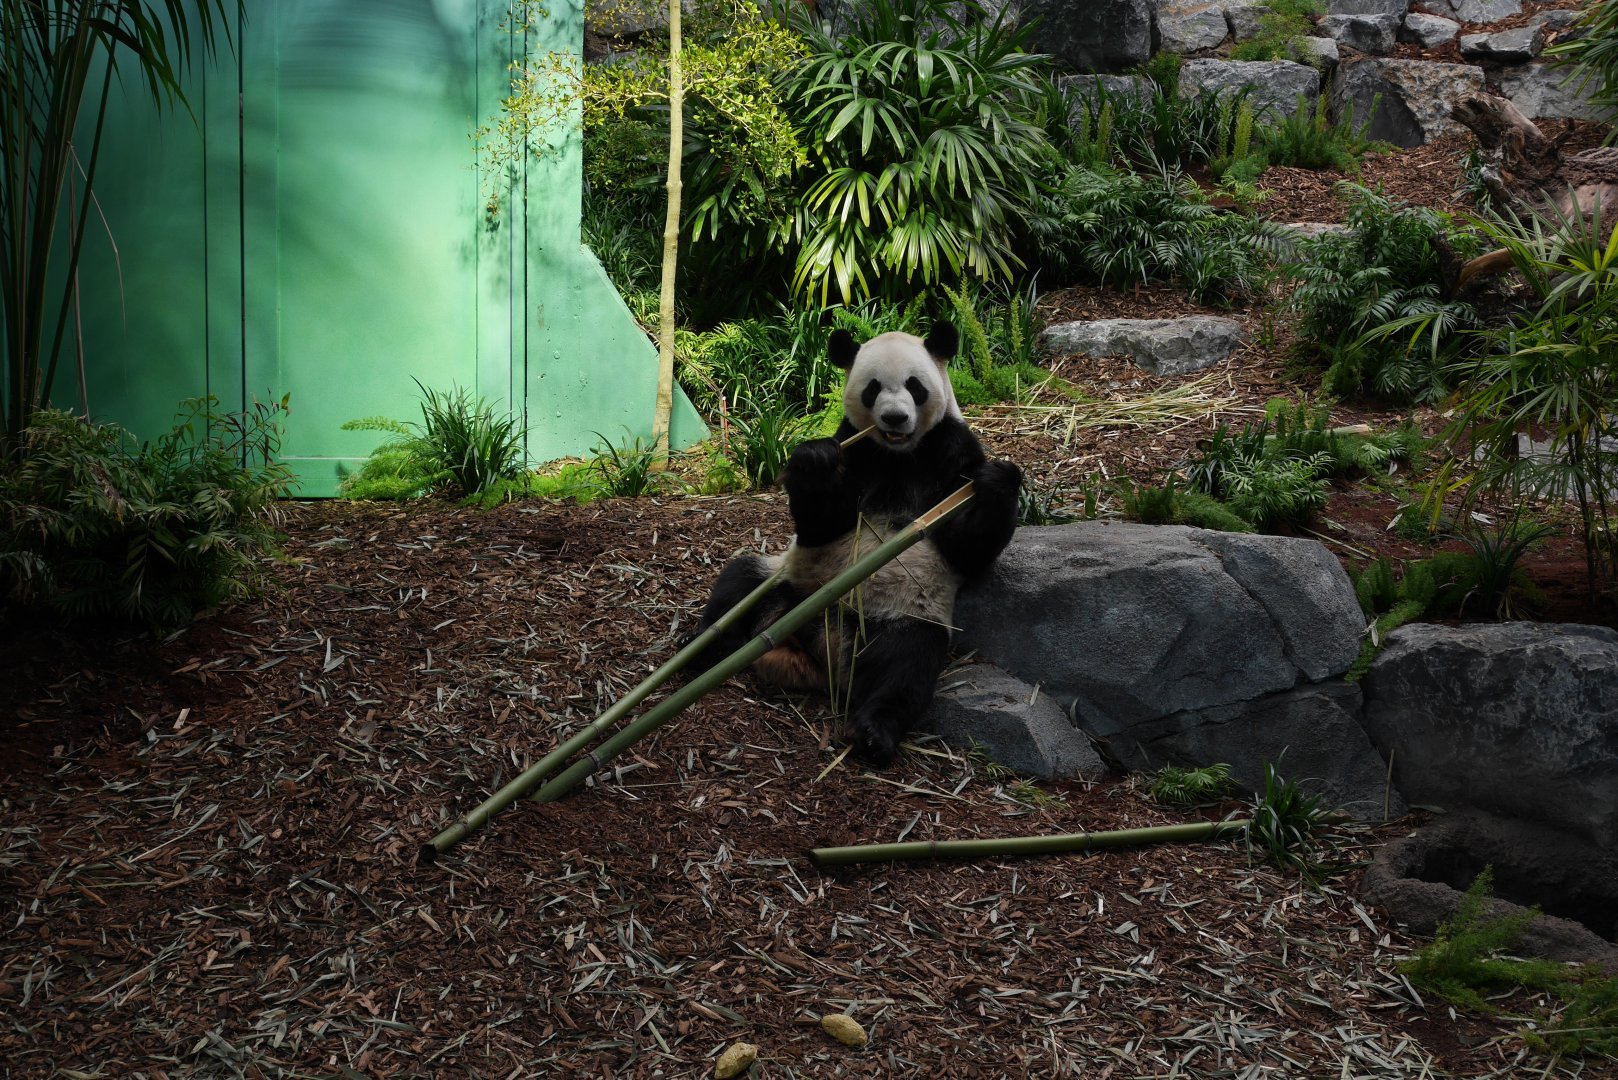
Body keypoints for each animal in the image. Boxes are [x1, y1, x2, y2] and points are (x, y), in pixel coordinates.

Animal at [687, 321, 1022, 765]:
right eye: (873, 388)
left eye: (915, 386)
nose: (895, 417)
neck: (899, 453)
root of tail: (816, 646)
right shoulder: (855, 445)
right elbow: (822, 520)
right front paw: (814, 461)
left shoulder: (952, 448)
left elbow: (965, 547)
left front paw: (999, 480)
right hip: (786, 578)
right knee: (738, 582)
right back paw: (703, 646)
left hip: (905, 614)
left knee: (905, 666)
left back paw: (873, 733)